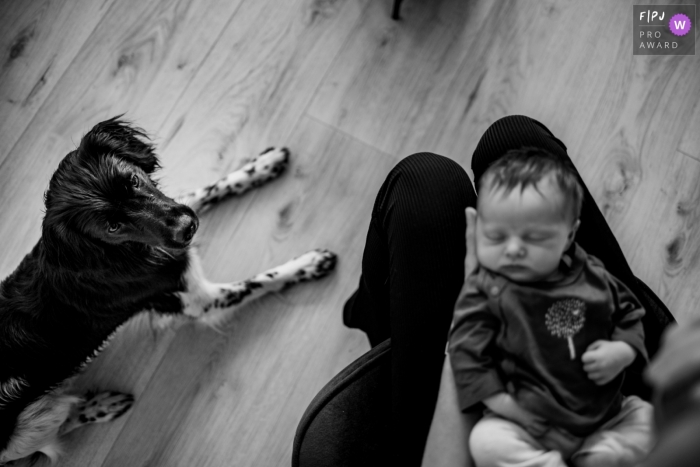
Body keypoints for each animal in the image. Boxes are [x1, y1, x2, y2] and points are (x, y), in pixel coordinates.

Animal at [0, 118, 336, 464]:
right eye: (112, 227)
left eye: (133, 180)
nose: (187, 228)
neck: (119, 252)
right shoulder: (199, 301)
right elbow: (260, 280)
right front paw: (308, 264)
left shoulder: (175, 216)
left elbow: (205, 190)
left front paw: (261, 165)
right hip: (29, 427)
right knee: (58, 427)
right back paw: (101, 406)